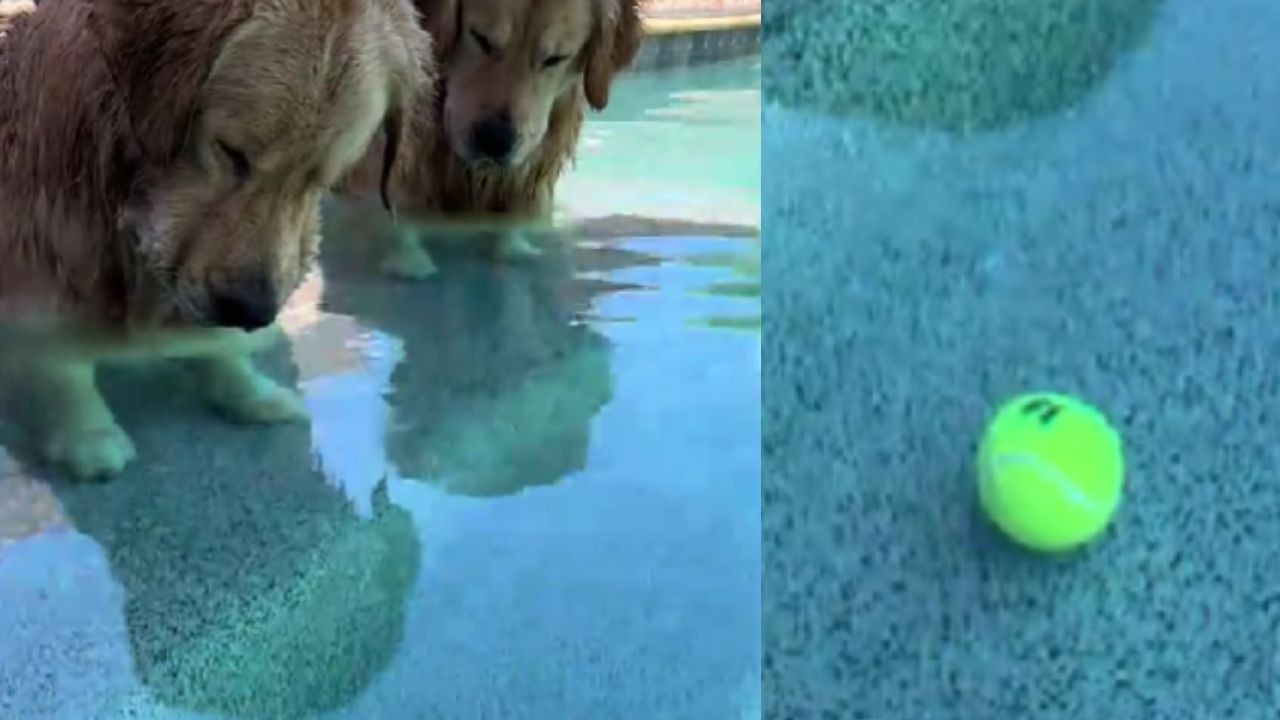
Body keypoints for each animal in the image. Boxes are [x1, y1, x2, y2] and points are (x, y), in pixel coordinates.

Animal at [0, 1, 435, 481]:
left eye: (318, 179)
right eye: (231, 153)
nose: (252, 313)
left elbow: (216, 349)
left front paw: (246, 391)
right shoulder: (39, 259)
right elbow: (62, 366)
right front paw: (87, 434)